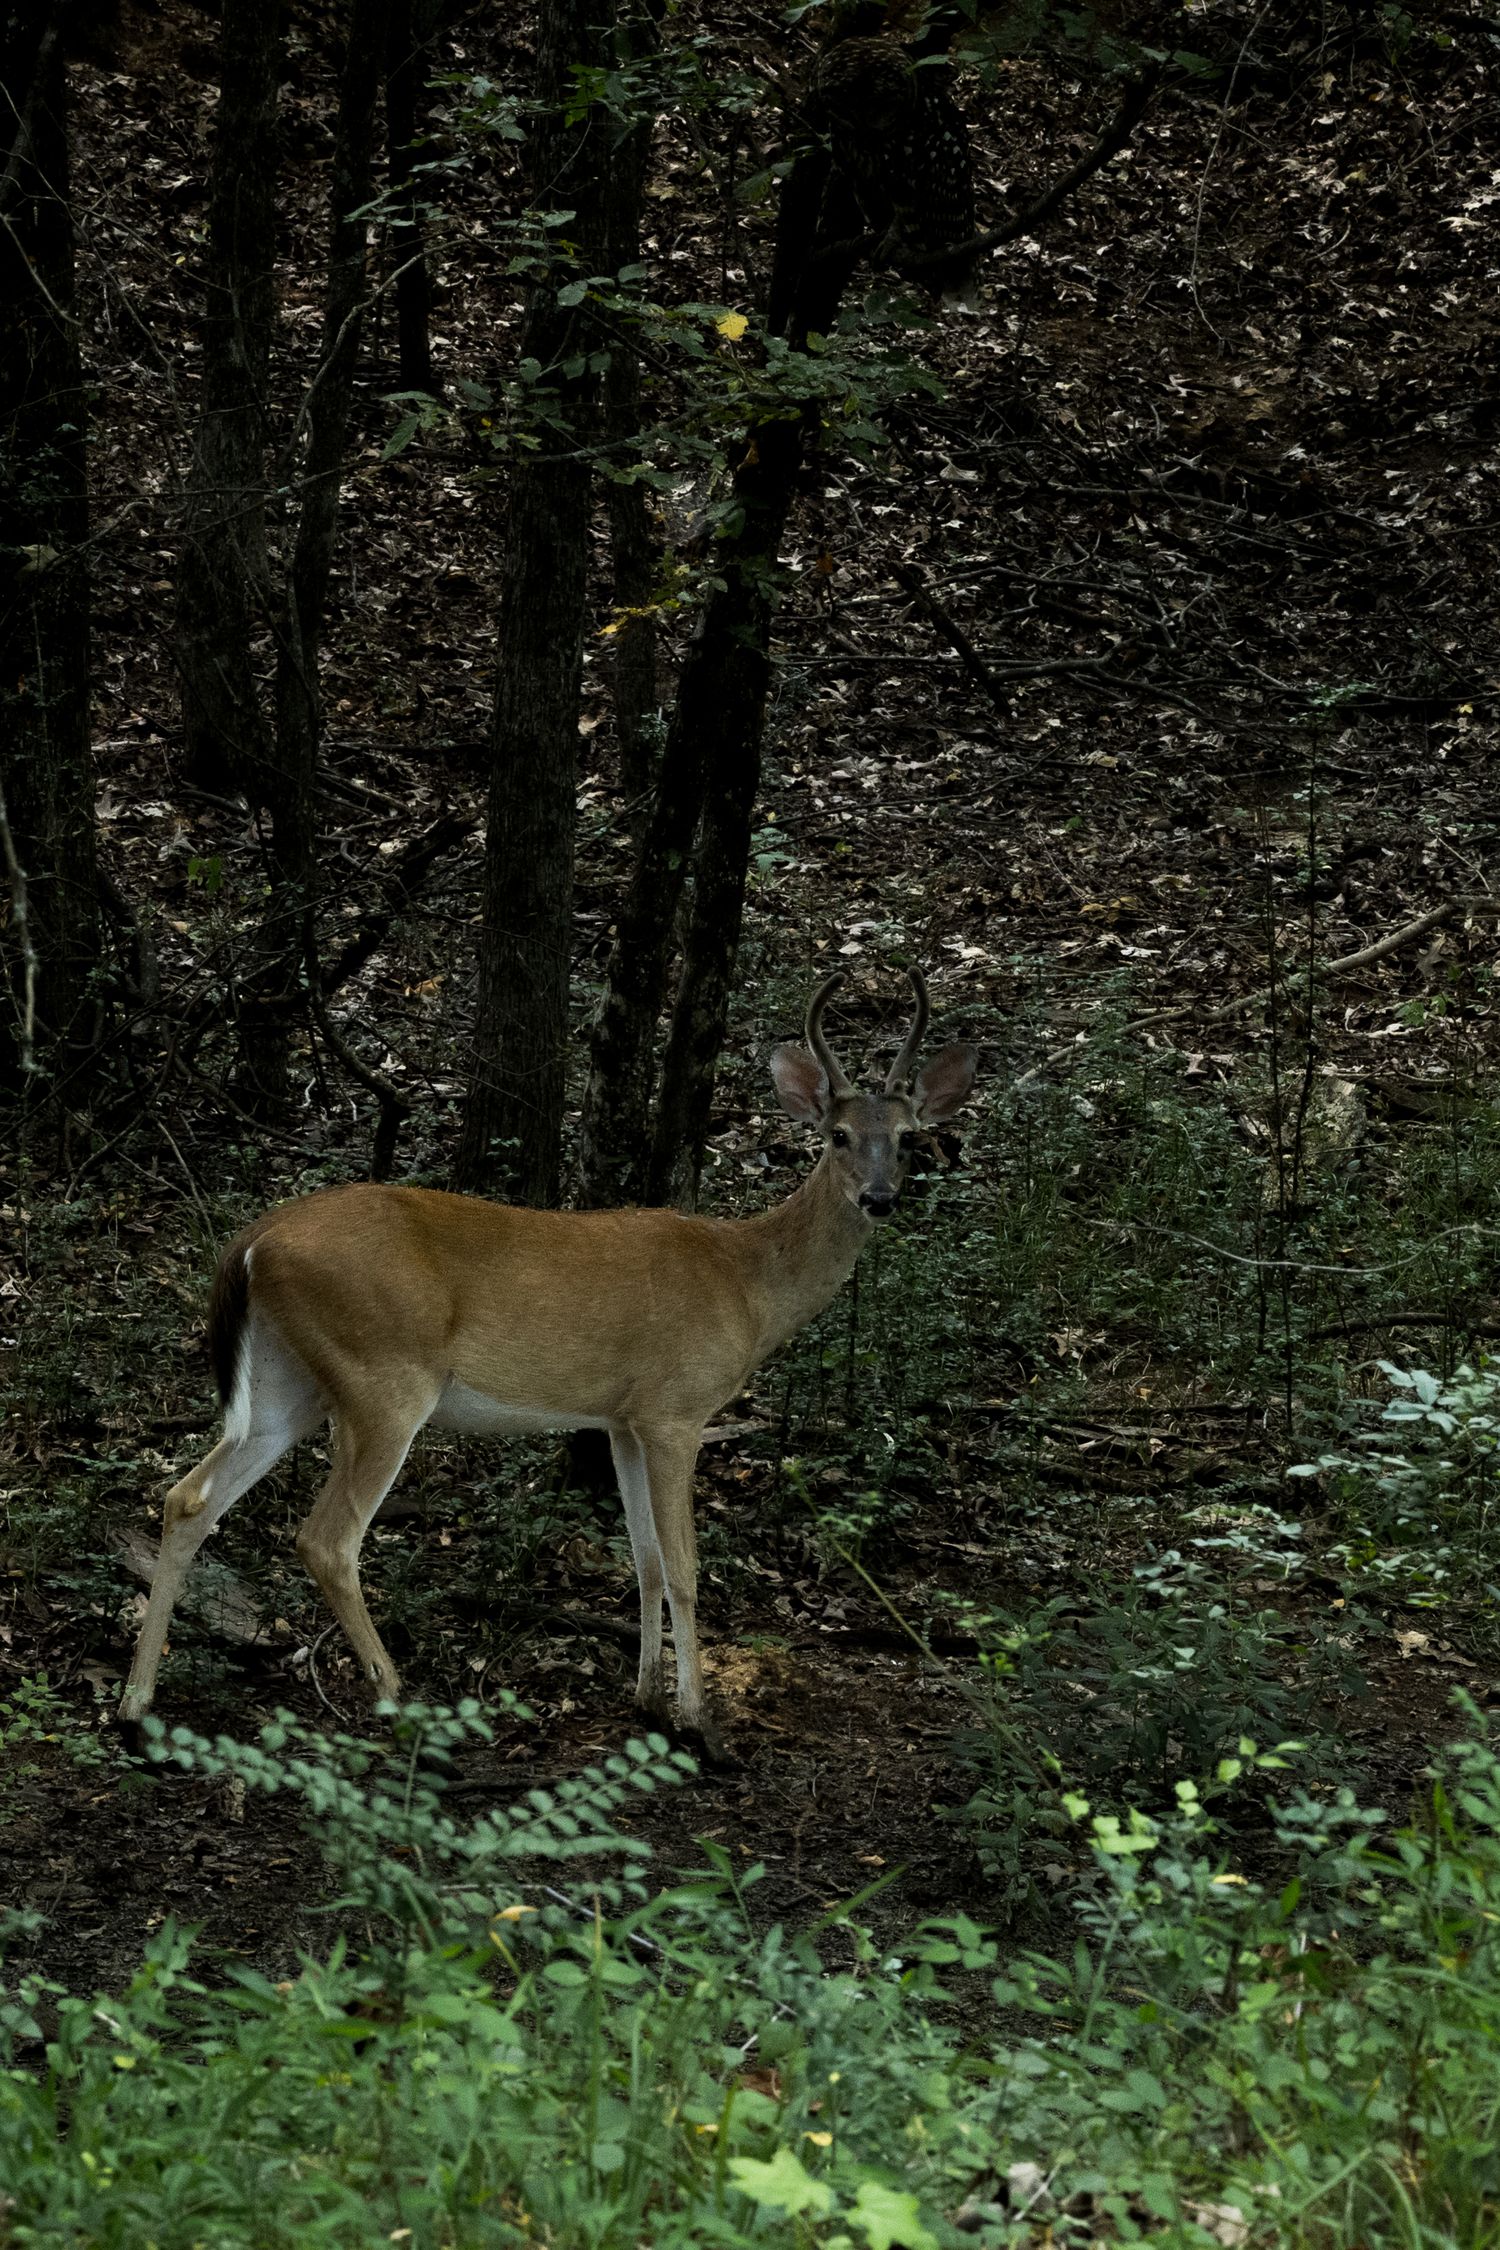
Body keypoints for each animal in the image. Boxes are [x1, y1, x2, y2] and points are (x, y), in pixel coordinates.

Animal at [119, 968, 977, 1752]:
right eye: (837, 1136)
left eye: (907, 1139)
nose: (878, 1198)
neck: (747, 1281)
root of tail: (253, 1240)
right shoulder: (676, 1409)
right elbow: (686, 1566)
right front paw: (699, 1720)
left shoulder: (623, 1419)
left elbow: (645, 1561)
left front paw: (646, 1698)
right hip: (383, 1379)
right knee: (325, 1538)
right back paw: (398, 1698)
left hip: (288, 1383)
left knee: (188, 1497)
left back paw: (136, 1703)